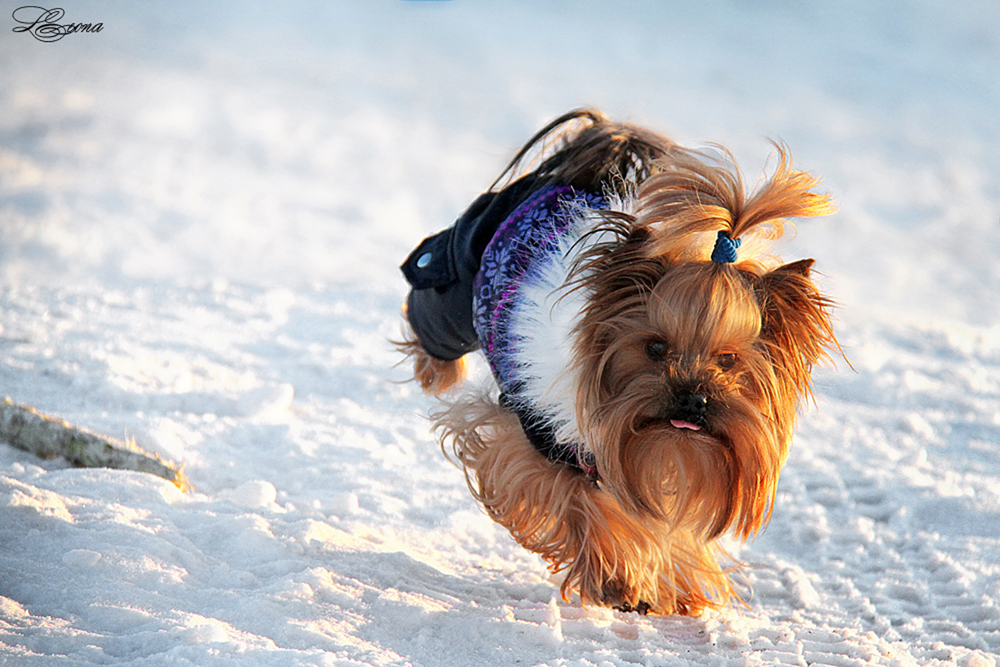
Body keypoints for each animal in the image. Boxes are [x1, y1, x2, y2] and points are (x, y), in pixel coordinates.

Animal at [397, 109, 838, 615]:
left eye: (727, 360)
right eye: (655, 348)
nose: (693, 397)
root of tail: (588, 161)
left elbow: (668, 521)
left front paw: (675, 587)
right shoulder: (538, 441)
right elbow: (580, 503)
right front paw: (620, 581)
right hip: (459, 268)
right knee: (430, 303)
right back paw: (435, 370)